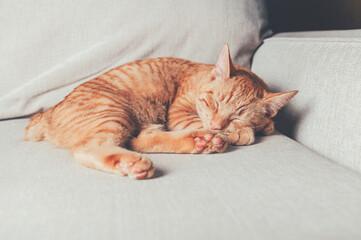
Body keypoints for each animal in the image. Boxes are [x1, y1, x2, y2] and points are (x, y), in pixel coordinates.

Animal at [24, 44, 296, 180]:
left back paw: (201, 141)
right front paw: (240, 133)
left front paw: (261, 125)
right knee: (89, 148)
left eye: (238, 114)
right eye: (214, 103)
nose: (218, 126)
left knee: (139, 140)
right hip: (113, 113)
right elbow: (203, 122)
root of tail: (48, 113)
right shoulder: (179, 113)